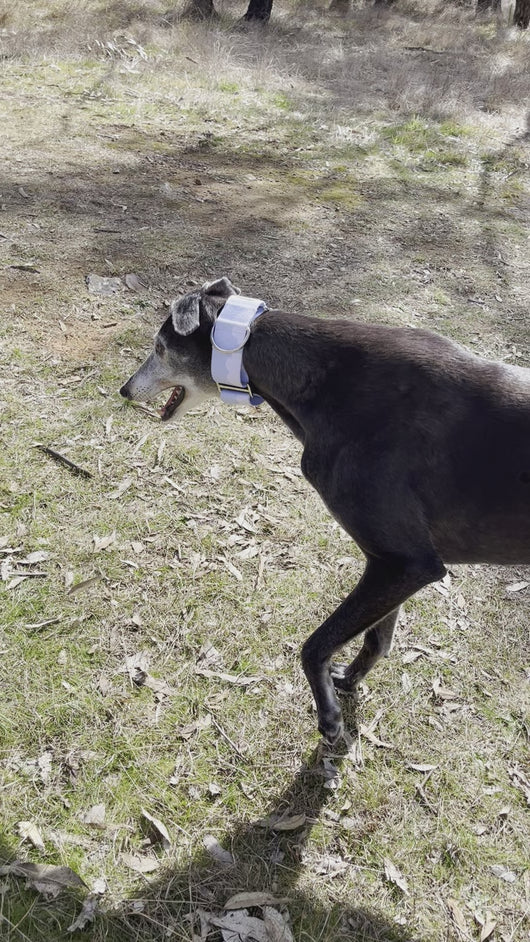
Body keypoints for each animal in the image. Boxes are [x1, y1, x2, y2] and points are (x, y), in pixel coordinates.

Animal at [120, 278, 528, 744]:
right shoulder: (391, 568)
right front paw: (348, 682)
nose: (124, 390)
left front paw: (330, 715)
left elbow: (314, 644)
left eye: (160, 347)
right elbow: (378, 641)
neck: (324, 378)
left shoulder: (404, 563)